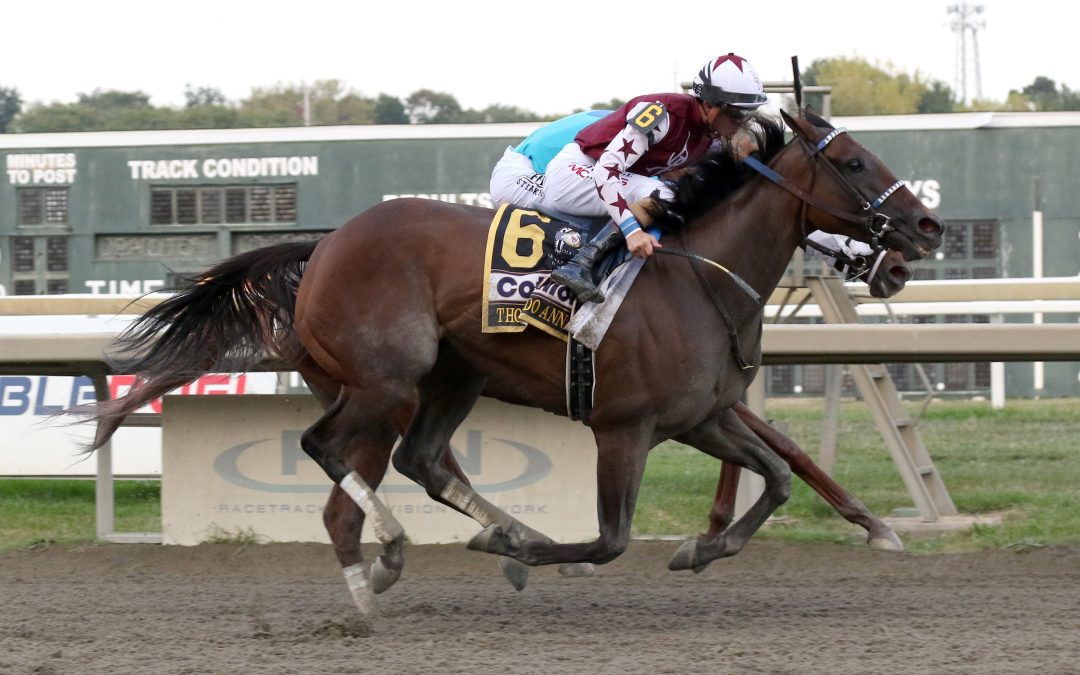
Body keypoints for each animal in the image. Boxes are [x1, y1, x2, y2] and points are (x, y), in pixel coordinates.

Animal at [81, 109, 942, 614]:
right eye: (855, 162)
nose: (925, 228)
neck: (695, 275)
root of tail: (321, 247)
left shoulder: (698, 416)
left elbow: (780, 473)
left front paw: (704, 547)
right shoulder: (625, 428)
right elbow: (610, 538)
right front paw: (532, 553)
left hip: (443, 379)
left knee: (412, 464)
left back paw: (406, 562)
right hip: (386, 378)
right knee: (327, 451)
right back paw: (398, 556)